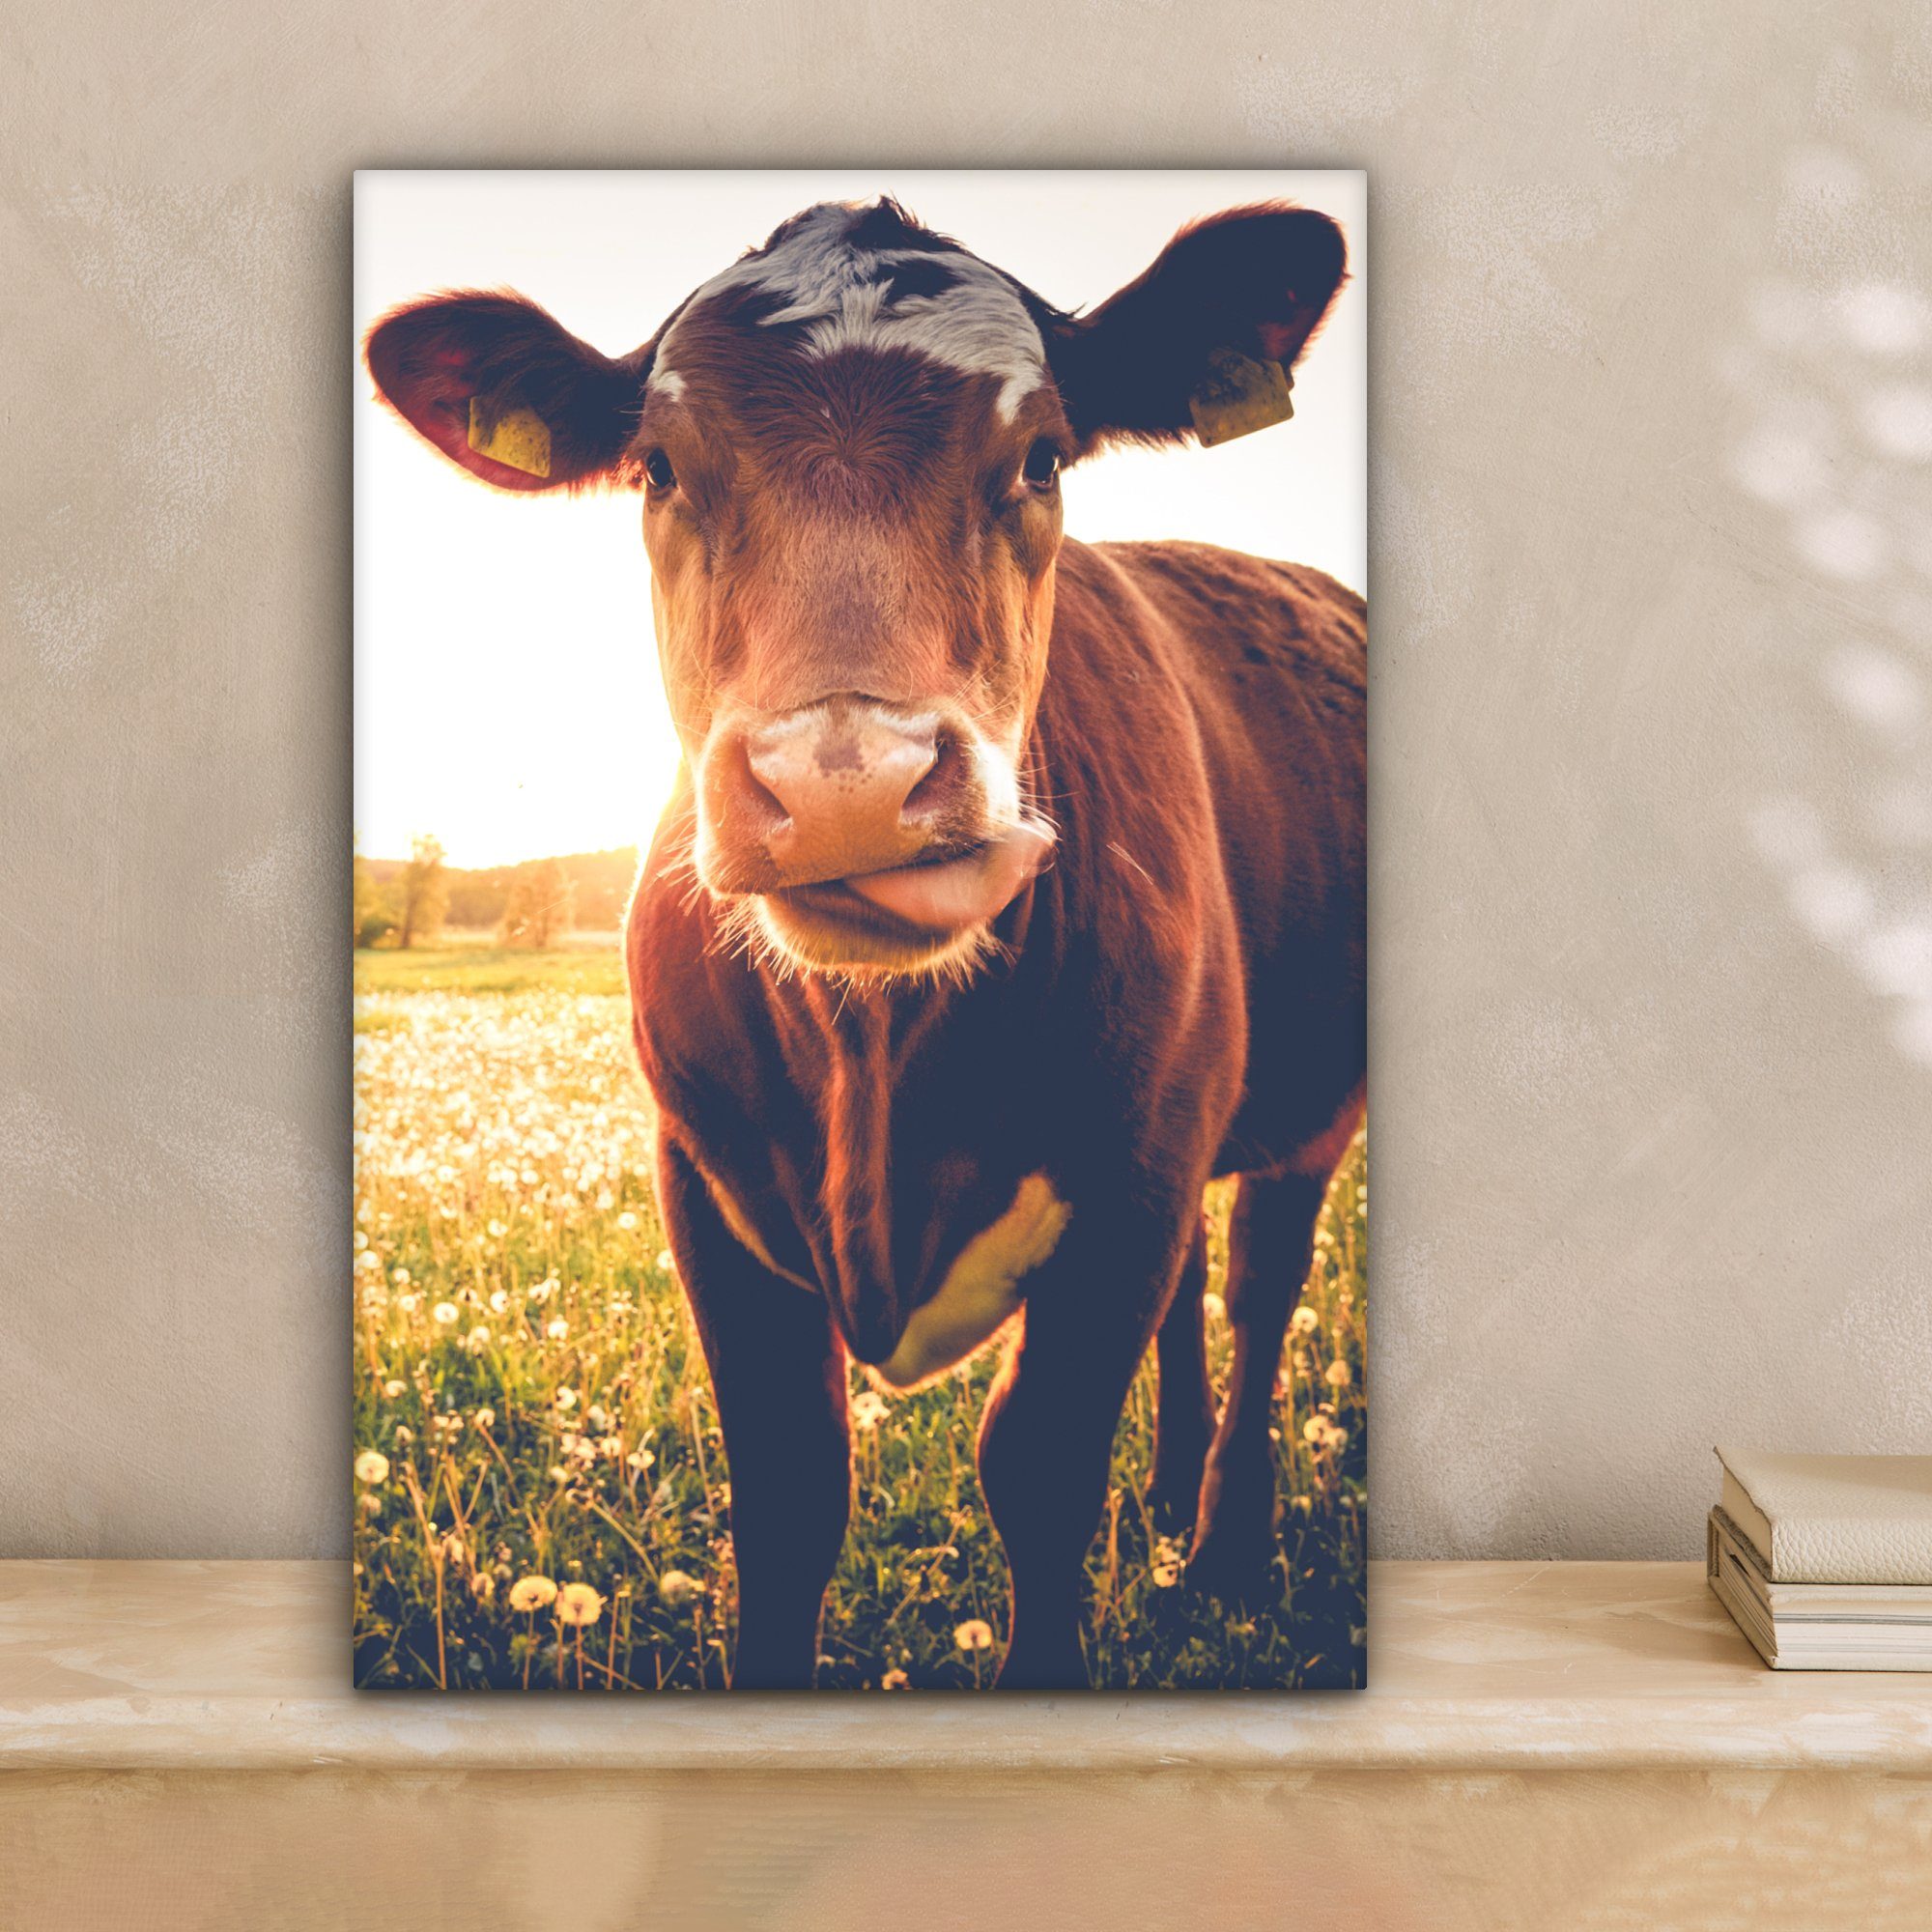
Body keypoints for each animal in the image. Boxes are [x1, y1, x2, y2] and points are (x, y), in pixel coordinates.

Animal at [365, 196, 1365, 1690]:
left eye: (1043, 453)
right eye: (658, 465)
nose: (845, 780)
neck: (877, 1056)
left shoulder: (1129, 1182)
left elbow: (1040, 1470)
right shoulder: (703, 1183)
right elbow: (791, 1493)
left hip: (1299, 1112)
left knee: (1255, 1290)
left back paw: (1225, 1549)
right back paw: (1172, 1502)